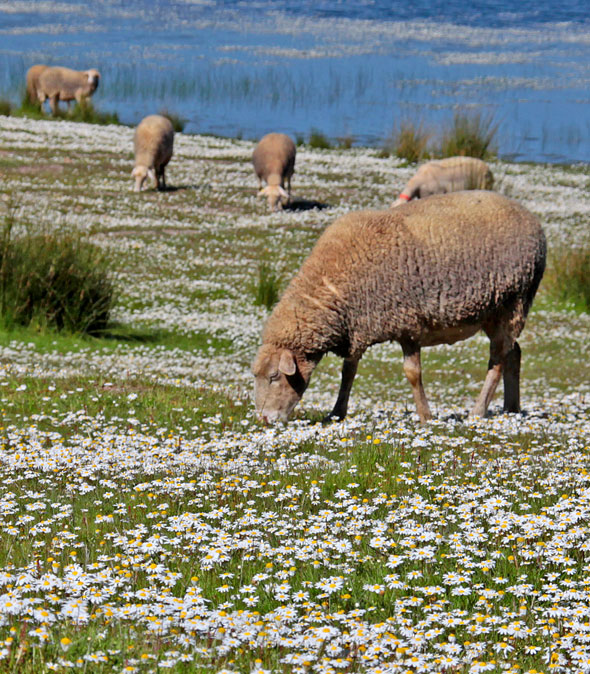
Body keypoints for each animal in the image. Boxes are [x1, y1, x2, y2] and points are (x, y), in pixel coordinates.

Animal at [252, 189, 548, 420]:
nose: (265, 419)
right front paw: (336, 413)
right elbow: (348, 372)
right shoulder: (358, 326)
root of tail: (531, 218)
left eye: (274, 376)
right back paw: (511, 408)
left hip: (514, 301)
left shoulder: (408, 324)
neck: (334, 286)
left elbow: (412, 373)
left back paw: (478, 411)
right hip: (492, 311)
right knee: (513, 352)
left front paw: (425, 417)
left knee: (498, 359)